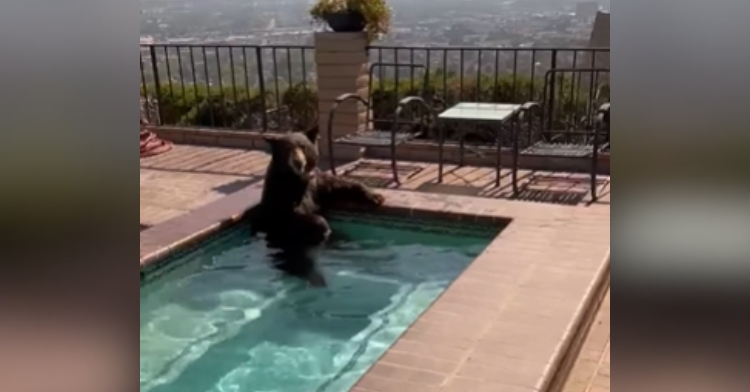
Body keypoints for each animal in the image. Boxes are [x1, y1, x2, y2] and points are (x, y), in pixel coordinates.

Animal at [250, 127, 388, 286]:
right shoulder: (281, 193)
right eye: (286, 149)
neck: (299, 178)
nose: (298, 162)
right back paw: (316, 277)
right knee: (296, 261)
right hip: (281, 240)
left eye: (303, 146)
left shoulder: (316, 182)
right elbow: (291, 215)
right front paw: (322, 225)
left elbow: (338, 185)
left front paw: (376, 196)